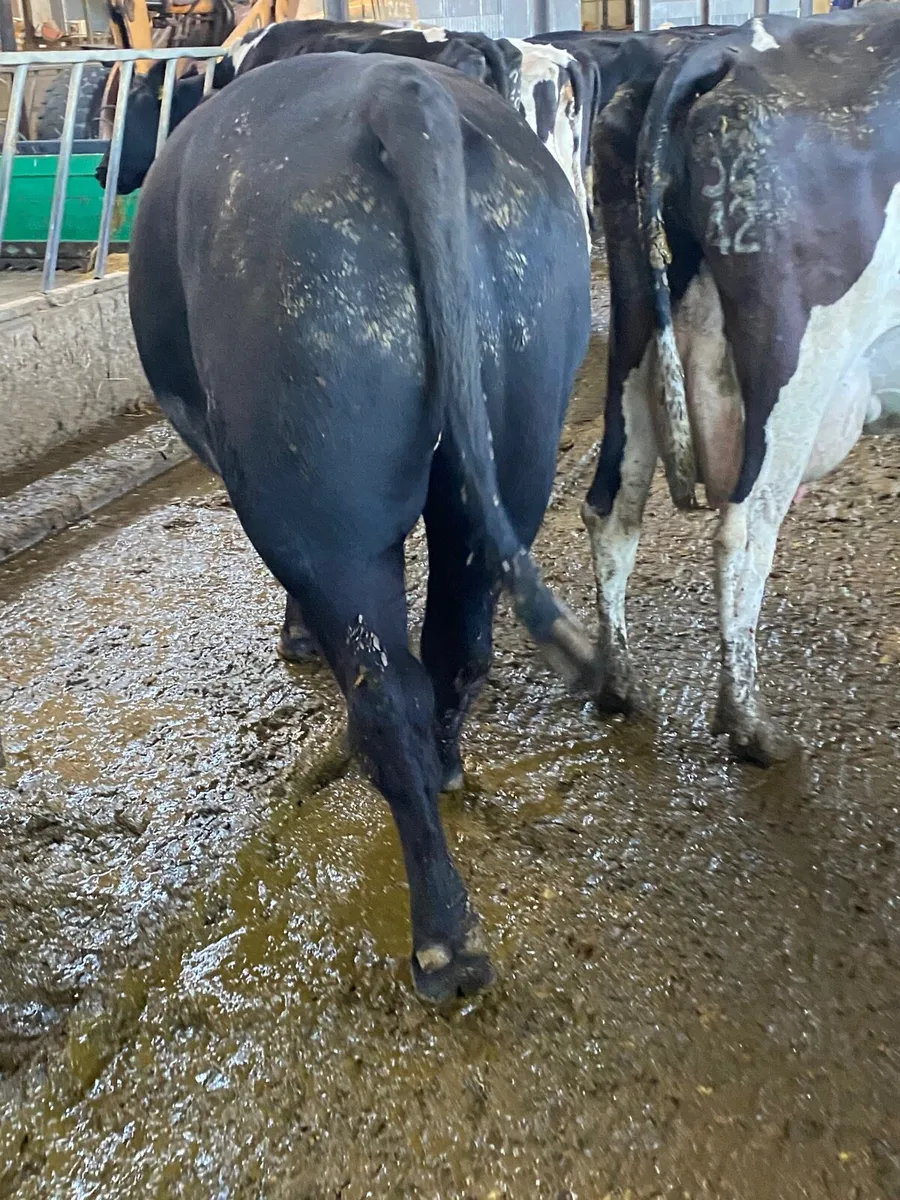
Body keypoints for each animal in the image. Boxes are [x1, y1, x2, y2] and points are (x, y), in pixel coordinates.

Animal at [128, 51, 600, 1000]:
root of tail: (401, 96)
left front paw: (297, 639)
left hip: (321, 500)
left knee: (387, 694)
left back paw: (447, 942)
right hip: (516, 435)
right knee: (458, 644)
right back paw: (452, 772)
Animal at [581, 7, 900, 765]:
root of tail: (724, 48)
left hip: (636, 340)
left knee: (612, 505)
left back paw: (620, 683)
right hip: (797, 369)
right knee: (744, 534)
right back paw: (751, 725)